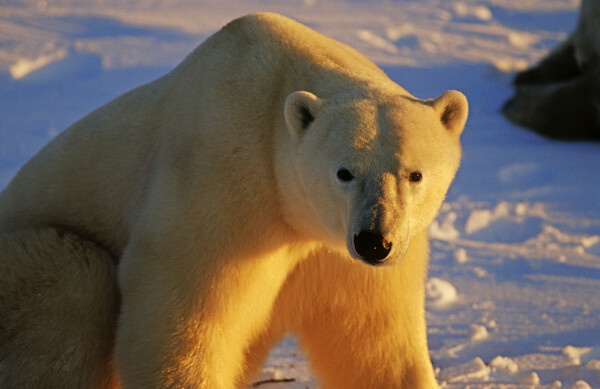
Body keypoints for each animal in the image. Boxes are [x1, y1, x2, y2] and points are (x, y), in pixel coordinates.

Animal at [0, 12, 468, 388]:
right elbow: (181, 321)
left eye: (414, 173)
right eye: (344, 172)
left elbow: (376, 343)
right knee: (75, 276)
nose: (374, 241)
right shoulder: (222, 182)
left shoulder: (349, 253)